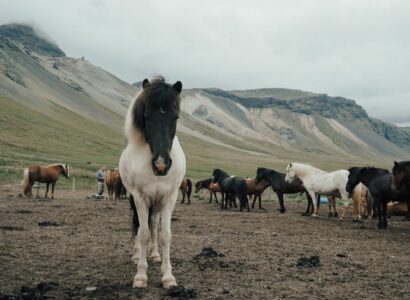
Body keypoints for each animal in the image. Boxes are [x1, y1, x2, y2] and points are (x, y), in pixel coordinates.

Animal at [119, 77, 185, 288]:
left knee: (154, 223)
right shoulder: (140, 197)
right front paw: (140, 275)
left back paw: (155, 254)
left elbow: (165, 234)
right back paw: (136, 255)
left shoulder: (169, 197)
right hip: (135, 198)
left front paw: (168, 275)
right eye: (146, 117)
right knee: (140, 225)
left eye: (175, 117)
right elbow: (143, 233)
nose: (161, 164)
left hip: (157, 202)